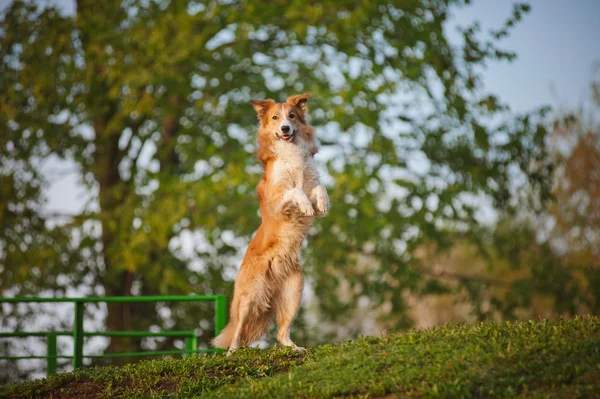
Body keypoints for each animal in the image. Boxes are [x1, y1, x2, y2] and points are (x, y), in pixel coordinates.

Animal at [213, 92, 330, 354]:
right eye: (276, 118)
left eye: (292, 116)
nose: (285, 128)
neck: (291, 151)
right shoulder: (276, 201)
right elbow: (296, 191)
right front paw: (305, 204)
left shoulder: (312, 184)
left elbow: (319, 188)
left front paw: (322, 203)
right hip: (249, 297)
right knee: (238, 331)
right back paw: (232, 352)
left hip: (294, 293)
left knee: (281, 332)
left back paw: (294, 348)